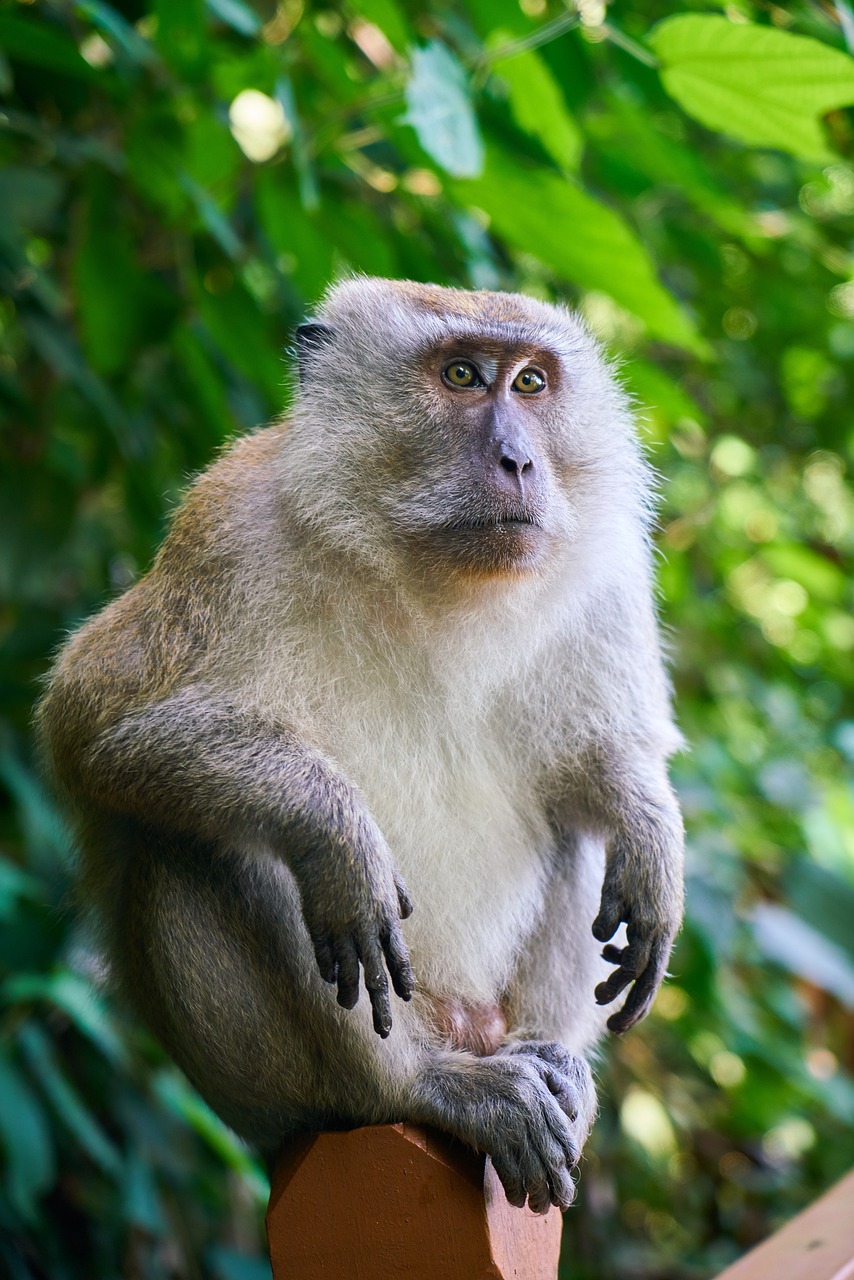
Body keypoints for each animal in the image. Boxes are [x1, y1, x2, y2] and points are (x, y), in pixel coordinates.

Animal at [36, 275, 686, 1213]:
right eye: (461, 375)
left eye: (531, 383)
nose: (520, 461)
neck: (427, 573)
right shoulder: (229, 530)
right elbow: (93, 726)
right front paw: (336, 831)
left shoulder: (604, 573)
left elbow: (607, 757)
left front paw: (651, 832)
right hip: (274, 1092)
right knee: (206, 843)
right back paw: (420, 1085)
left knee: (574, 819)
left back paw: (551, 1060)